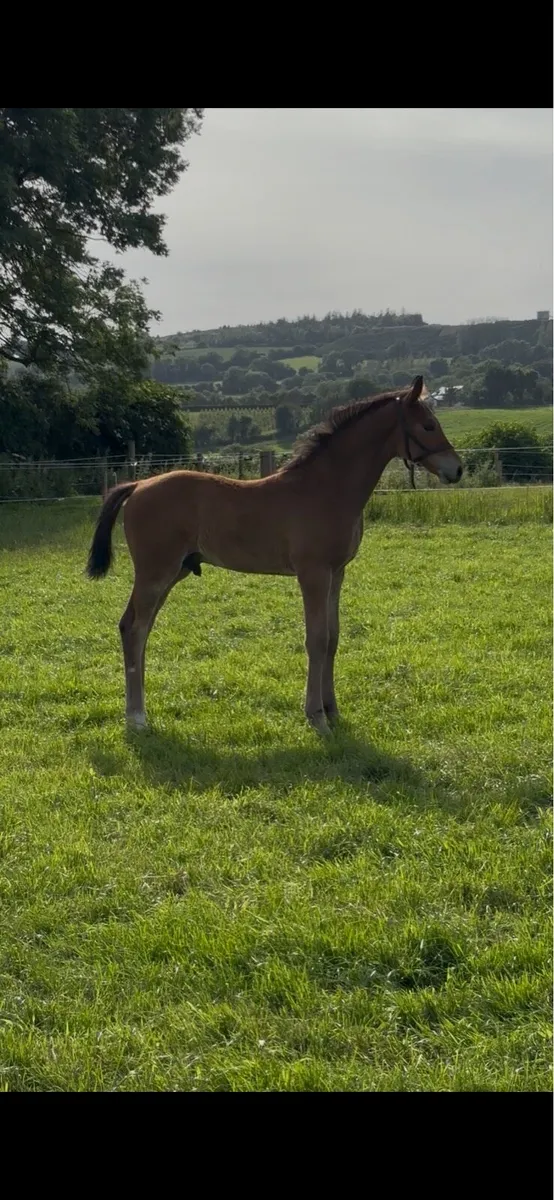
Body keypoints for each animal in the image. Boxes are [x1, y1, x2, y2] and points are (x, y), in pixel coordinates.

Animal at [86, 376, 462, 734]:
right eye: (428, 425)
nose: (457, 469)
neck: (326, 488)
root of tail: (137, 485)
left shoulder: (337, 573)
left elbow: (333, 638)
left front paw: (333, 710)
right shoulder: (313, 574)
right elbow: (316, 639)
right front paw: (317, 717)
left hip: (172, 572)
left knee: (139, 628)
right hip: (155, 572)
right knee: (134, 629)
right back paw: (136, 718)